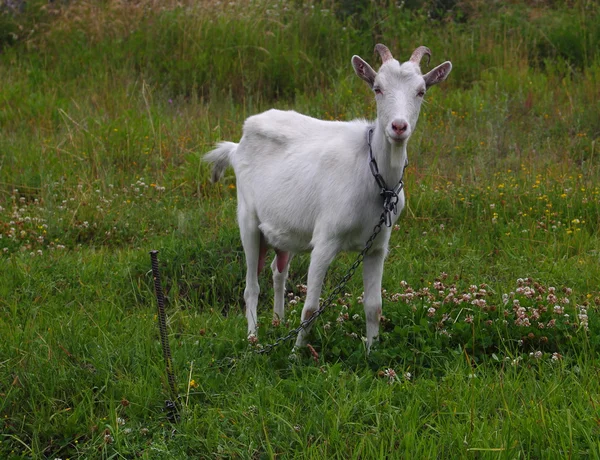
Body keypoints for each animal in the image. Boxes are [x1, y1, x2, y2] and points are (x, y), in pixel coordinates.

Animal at [204, 45, 452, 350]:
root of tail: (236, 146)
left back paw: (278, 321)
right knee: (251, 286)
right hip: (248, 218)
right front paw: (295, 354)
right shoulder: (324, 241)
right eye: (377, 88)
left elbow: (374, 307)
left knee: (278, 268)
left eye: (421, 91)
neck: (373, 177)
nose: (398, 127)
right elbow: (310, 308)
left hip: (286, 228)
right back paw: (253, 338)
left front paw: (371, 352)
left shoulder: (377, 246)